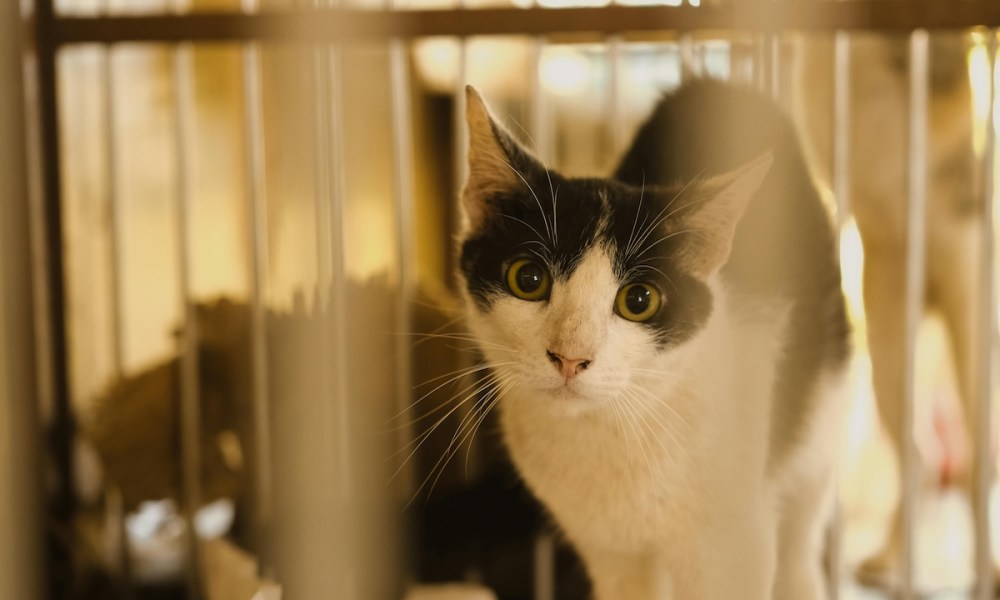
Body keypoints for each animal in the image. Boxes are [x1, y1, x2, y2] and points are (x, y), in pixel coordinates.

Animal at [458, 81, 848, 600]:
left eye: (639, 300)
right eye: (528, 279)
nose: (570, 357)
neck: (610, 428)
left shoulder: (732, 547)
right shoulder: (610, 551)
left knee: (802, 532)